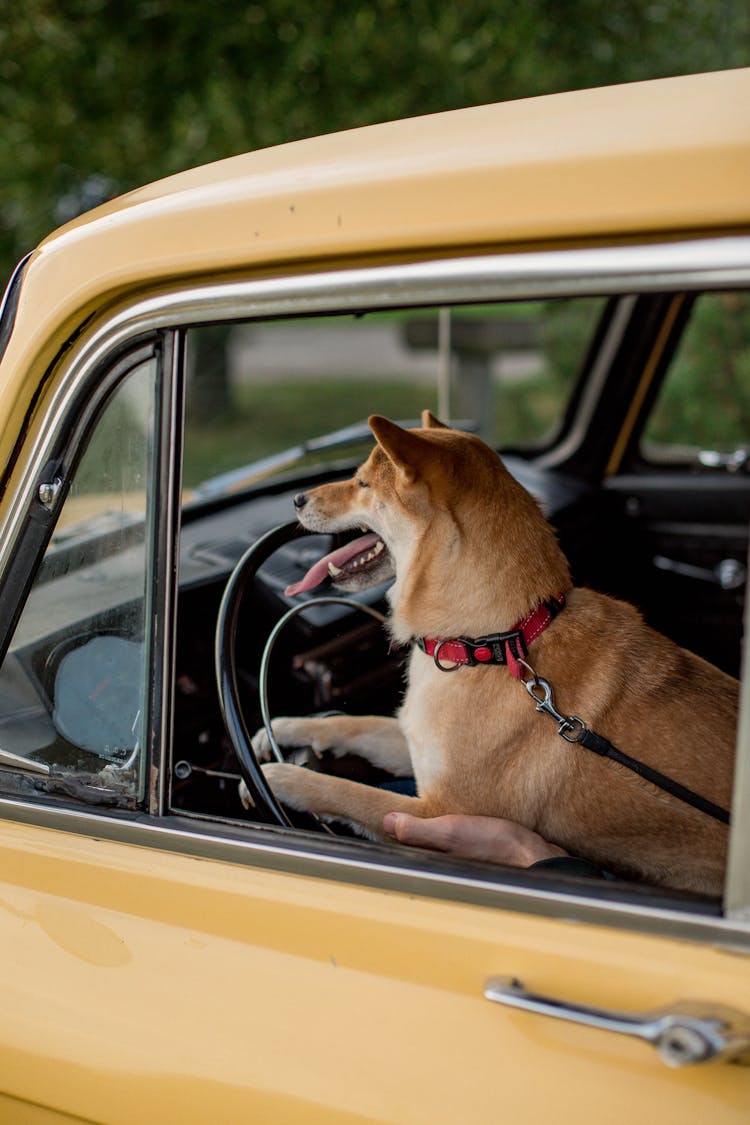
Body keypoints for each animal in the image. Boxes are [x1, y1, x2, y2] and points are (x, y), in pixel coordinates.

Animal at [254, 409, 737, 891]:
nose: (296, 498)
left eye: (362, 483)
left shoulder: (435, 811)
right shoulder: (416, 744)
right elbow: (356, 724)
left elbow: (348, 793)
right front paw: (284, 727)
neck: (495, 642)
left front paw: (282, 778)